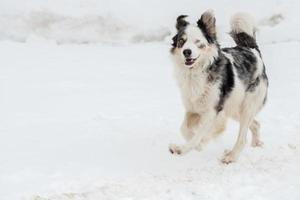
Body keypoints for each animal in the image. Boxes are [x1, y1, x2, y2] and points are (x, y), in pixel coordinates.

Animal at [169, 10, 270, 163]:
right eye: (182, 41)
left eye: (198, 42)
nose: (187, 52)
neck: (196, 73)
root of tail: (252, 51)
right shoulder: (193, 108)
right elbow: (184, 129)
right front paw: (198, 145)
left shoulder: (212, 111)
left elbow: (200, 133)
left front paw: (184, 148)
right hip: (233, 107)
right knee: (256, 124)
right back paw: (256, 144)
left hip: (247, 106)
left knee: (242, 137)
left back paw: (231, 156)